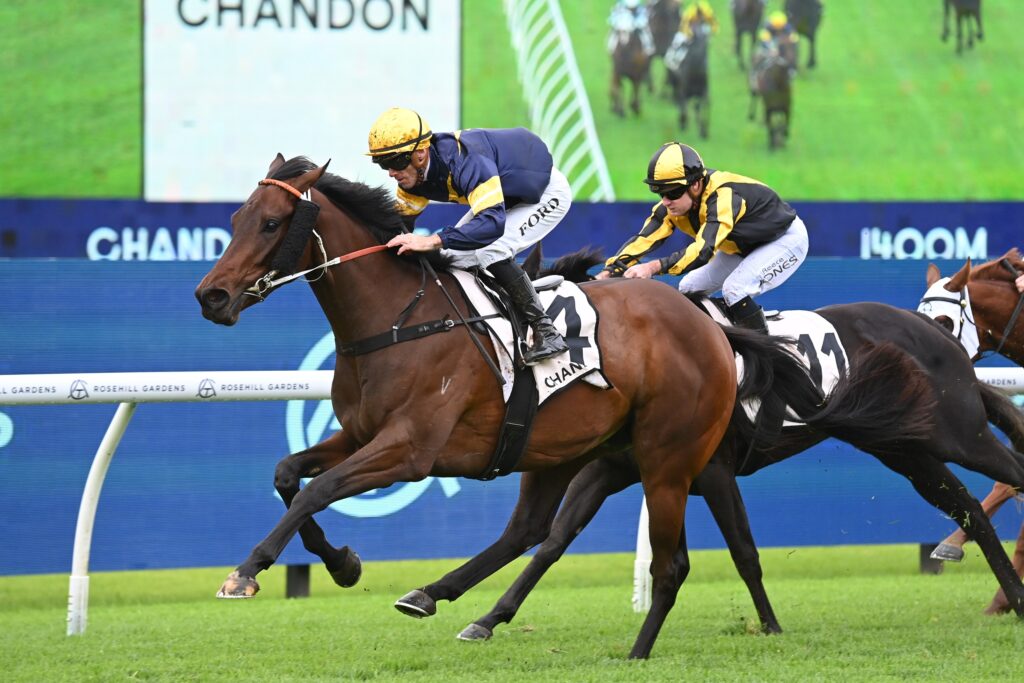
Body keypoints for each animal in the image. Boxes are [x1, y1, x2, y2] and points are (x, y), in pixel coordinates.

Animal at [193, 155, 830, 659]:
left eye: (271, 222)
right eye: (235, 220)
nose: (211, 296)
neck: (397, 322)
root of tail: (711, 328)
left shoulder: (409, 450)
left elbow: (321, 489)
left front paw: (246, 572)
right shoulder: (359, 435)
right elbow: (288, 476)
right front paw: (341, 563)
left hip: (669, 460)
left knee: (667, 565)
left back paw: (636, 652)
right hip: (560, 449)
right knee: (530, 530)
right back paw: (440, 599)